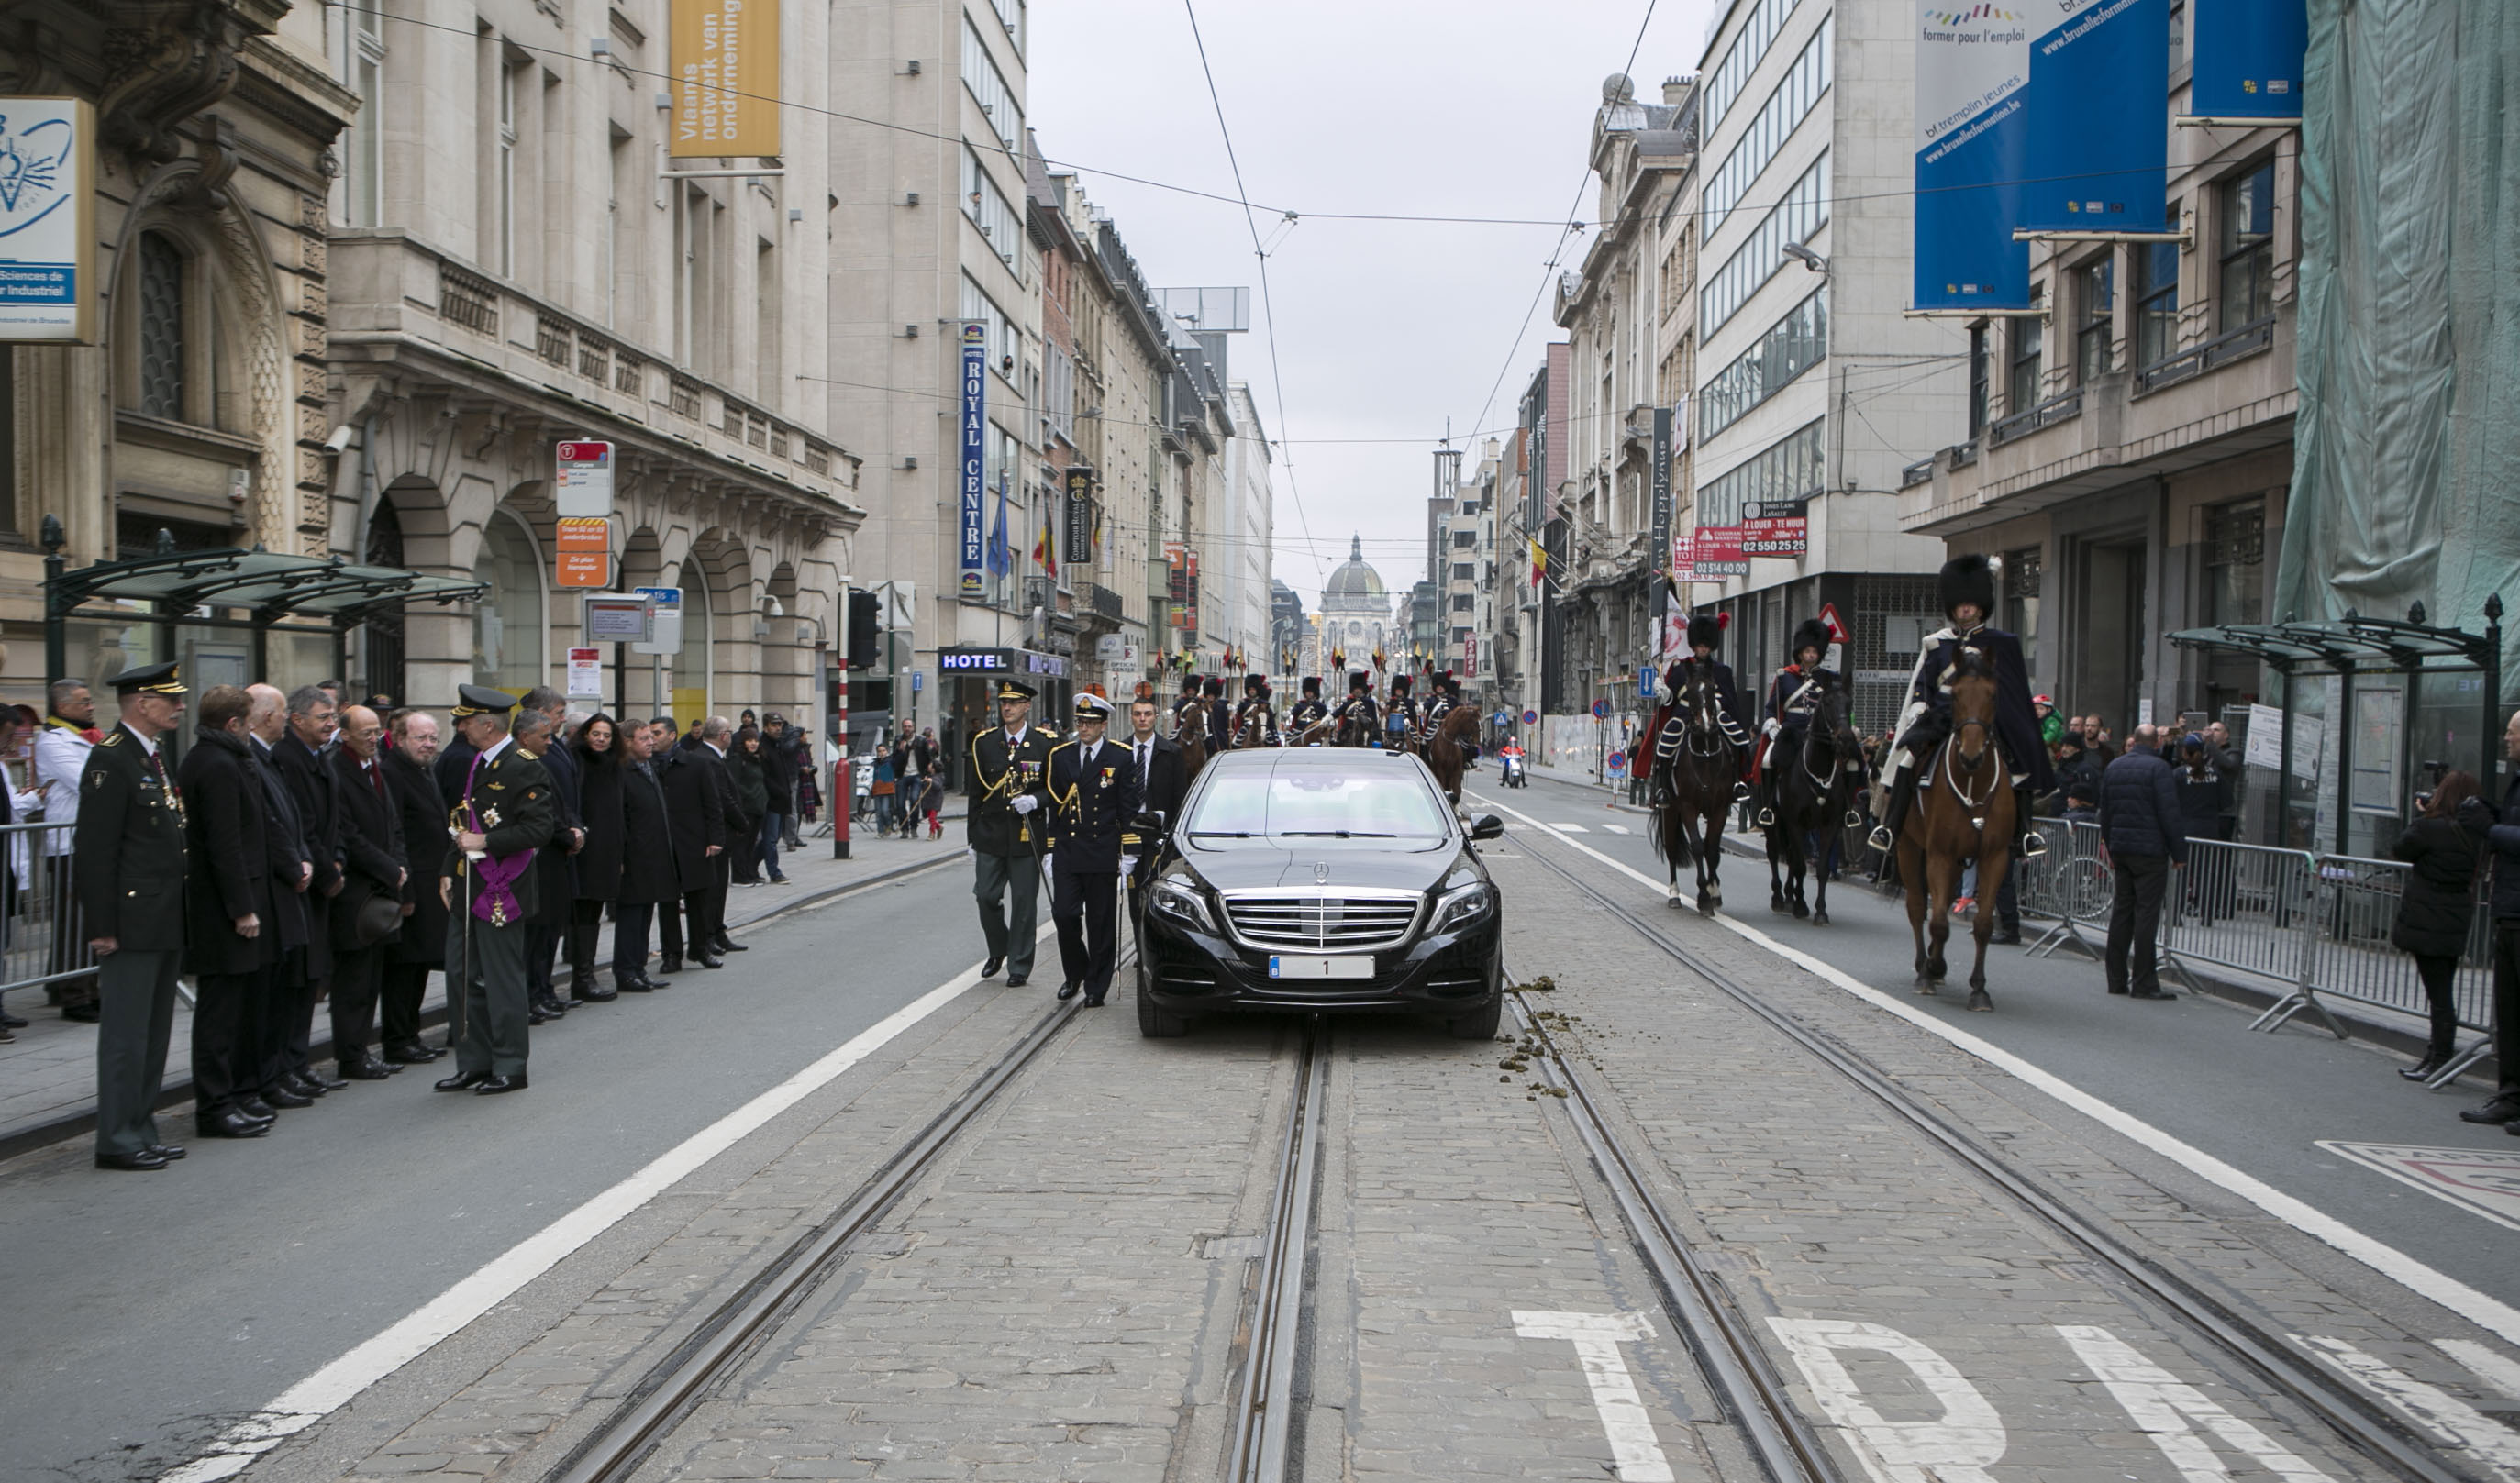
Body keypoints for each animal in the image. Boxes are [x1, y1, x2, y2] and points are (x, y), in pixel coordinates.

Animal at [1643, 659, 1743, 911]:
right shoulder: (1687, 807)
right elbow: (1698, 846)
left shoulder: (1719, 808)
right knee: (1671, 850)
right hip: (1670, 812)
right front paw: (1703, 896)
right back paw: (1674, 894)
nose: (1704, 725)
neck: (1705, 754)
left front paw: (1713, 890)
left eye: (1711, 691)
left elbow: (1712, 849)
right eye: (1690, 693)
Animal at [1894, 649, 2015, 1007]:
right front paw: (1929, 971)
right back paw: (1925, 965)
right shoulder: (1939, 854)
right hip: (1908, 847)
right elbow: (1936, 921)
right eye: (1956, 694)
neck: (1973, 783)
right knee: (1918, 907)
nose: (1971, 756)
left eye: (1993, 695)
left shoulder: (1994, 857)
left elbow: (1983, 923)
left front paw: (1979, 989)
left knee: (1943, 903)